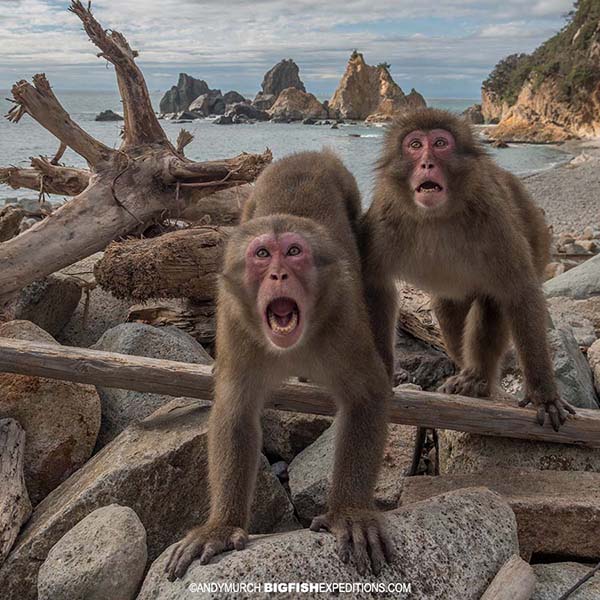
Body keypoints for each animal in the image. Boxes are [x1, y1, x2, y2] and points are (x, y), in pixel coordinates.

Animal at [165, 151, 394, 580]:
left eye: (292, 252)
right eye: (261, 254)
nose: (278, 274)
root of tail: (312, 154)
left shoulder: (341, 314)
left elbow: (366, 396)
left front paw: (349, 513)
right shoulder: (235, 321)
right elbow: (235, 410)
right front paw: (221, 527)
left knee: (375, 279)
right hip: (251, 201)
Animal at [360, 109, 576, 468]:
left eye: (440, 144)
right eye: (415, 145)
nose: (427, 163)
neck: (436, 216)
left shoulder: (491, 217)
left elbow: (519, 292)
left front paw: (544, 395)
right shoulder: (385, 217)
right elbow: (376, 285)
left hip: (537, 238)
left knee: (494, 300)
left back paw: (477, 378)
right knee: (448, 308)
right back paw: (470, 377)